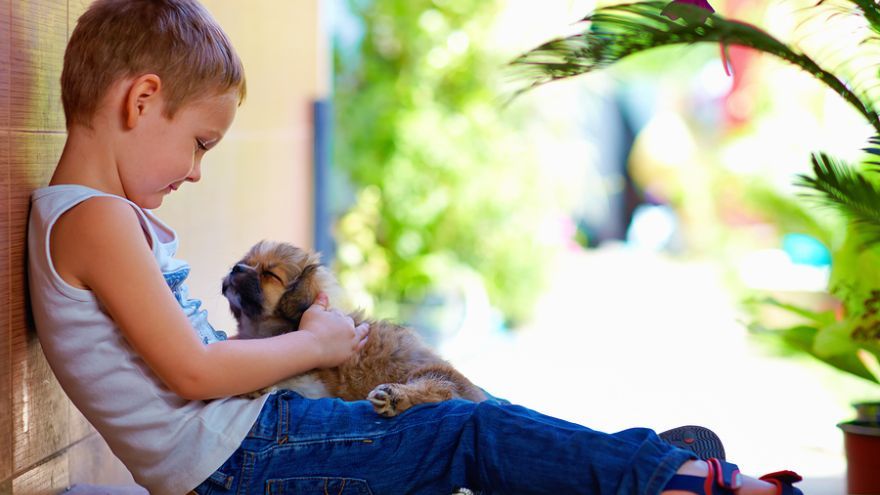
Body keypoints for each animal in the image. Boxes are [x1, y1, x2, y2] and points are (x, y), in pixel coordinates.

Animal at [217, 242, 484, 416]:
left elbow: (288, 375)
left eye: (270, 274)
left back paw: (394, 397)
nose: (236, 268)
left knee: (439, 391)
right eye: (246, 263)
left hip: (434, 375)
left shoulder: (319, 381)